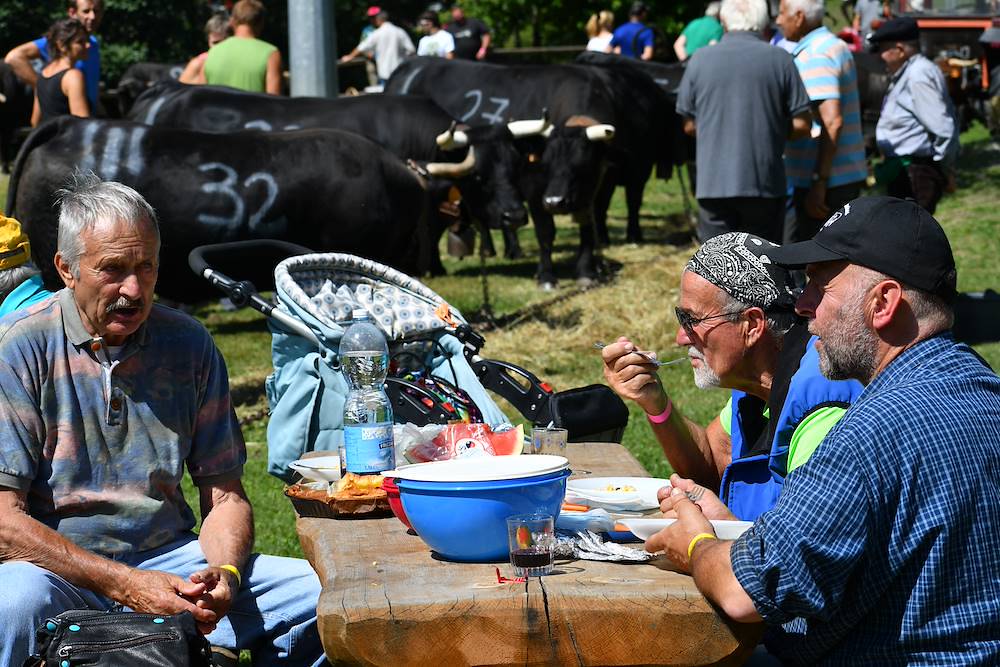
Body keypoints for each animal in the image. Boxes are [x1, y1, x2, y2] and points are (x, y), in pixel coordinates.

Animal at [386, 55, 676, 290]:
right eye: (546, 163)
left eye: (583, 165)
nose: (555, 202)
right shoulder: (536, 191)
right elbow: (545, 232)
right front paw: (547, 277)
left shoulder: (599, 185)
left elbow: (589, 226)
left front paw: (586, 271)